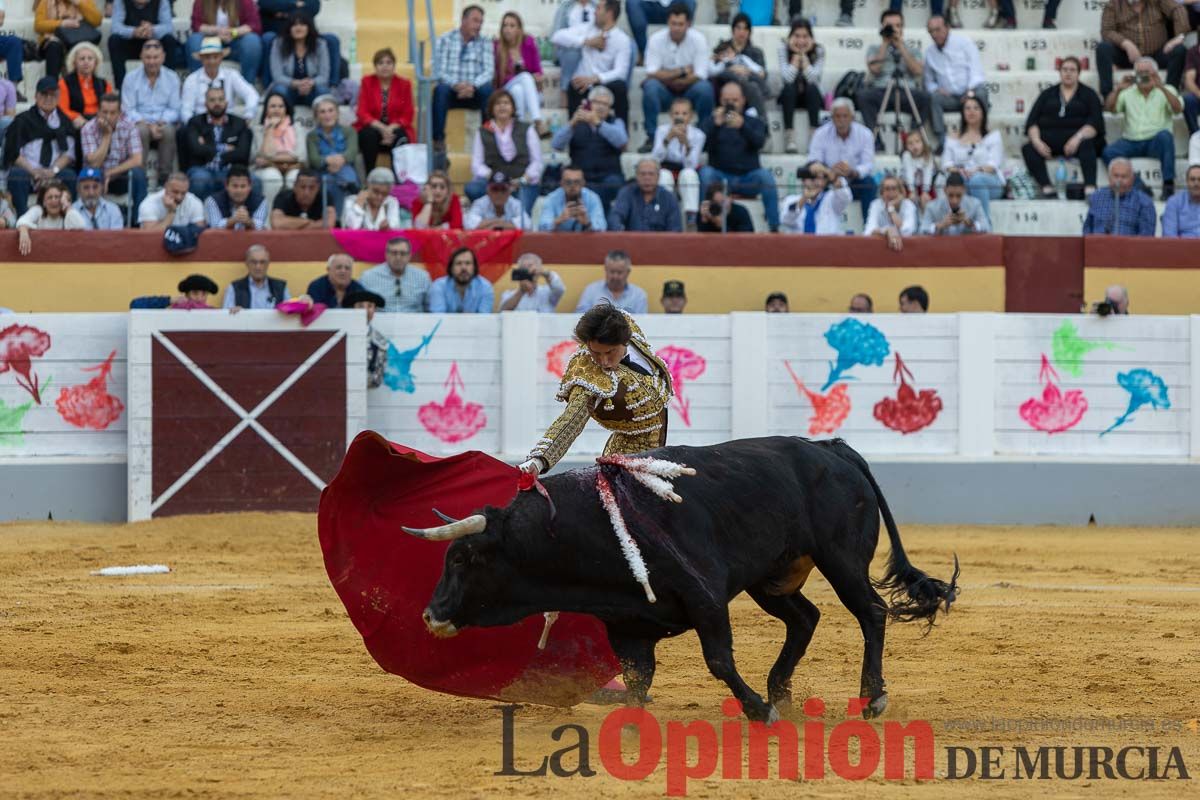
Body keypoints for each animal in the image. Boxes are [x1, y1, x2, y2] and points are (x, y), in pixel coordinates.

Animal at [408, 438, 960, 724]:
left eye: (463, 558)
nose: (431, 615)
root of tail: (832, 448)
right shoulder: (626, 626)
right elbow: (637, 678)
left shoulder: (705, 597)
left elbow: (718, 659)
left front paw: (757, 710)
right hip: (771, 578)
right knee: (806, 617)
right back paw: (781, 689)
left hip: (841, 559)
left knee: (870, 612)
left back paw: (870, 698)